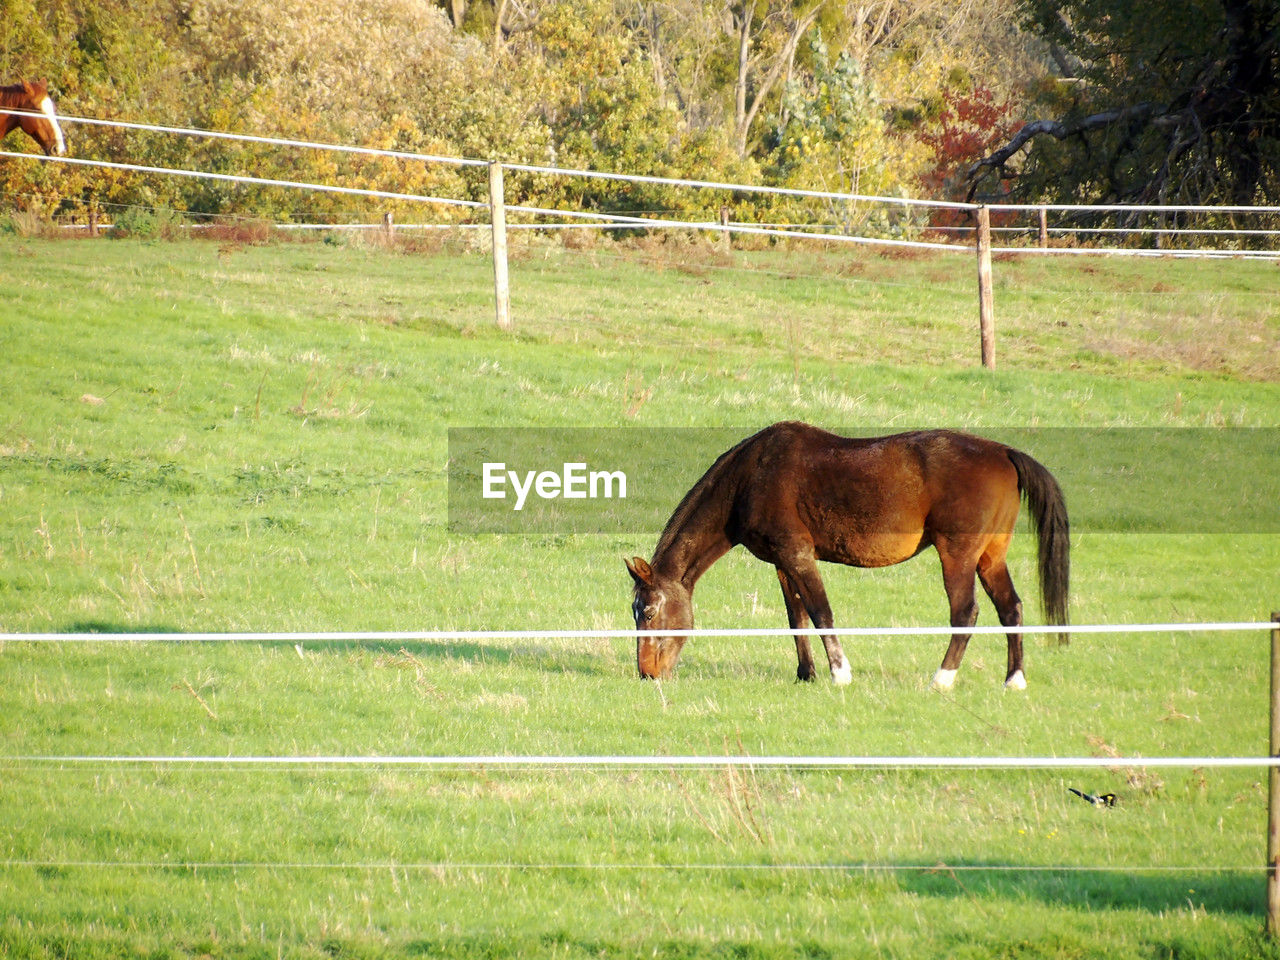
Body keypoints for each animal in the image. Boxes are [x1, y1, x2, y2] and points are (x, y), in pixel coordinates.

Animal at [629, 424, 1070, 686]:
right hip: (990, 558)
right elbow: (797, 618)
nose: (646, 673)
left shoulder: (798, 554)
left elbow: (821, 612)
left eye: (648, 612)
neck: (752, 475)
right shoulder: (783, 564)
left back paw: (942, 678)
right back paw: (1014, 678)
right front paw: (805, 673)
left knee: (966, 612)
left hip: (958, 556)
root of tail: (1002, 452)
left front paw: (840, 672)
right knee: (1010, 607)